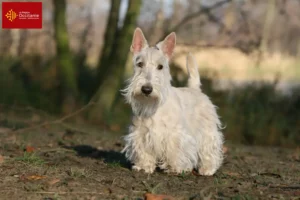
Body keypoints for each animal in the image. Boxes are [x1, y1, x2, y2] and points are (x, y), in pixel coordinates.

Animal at [120, 27, 223, 175]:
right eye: (140, 64)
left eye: (160, 66)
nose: (146, 89)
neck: (154, 107)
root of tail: (195, 89)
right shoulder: (140, 133)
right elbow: (143, 151)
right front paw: (144, 166)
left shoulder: (175, 134)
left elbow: (175, 150)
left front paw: (175, 167)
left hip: (207, 131)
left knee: (209, 149)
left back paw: (207, 169)